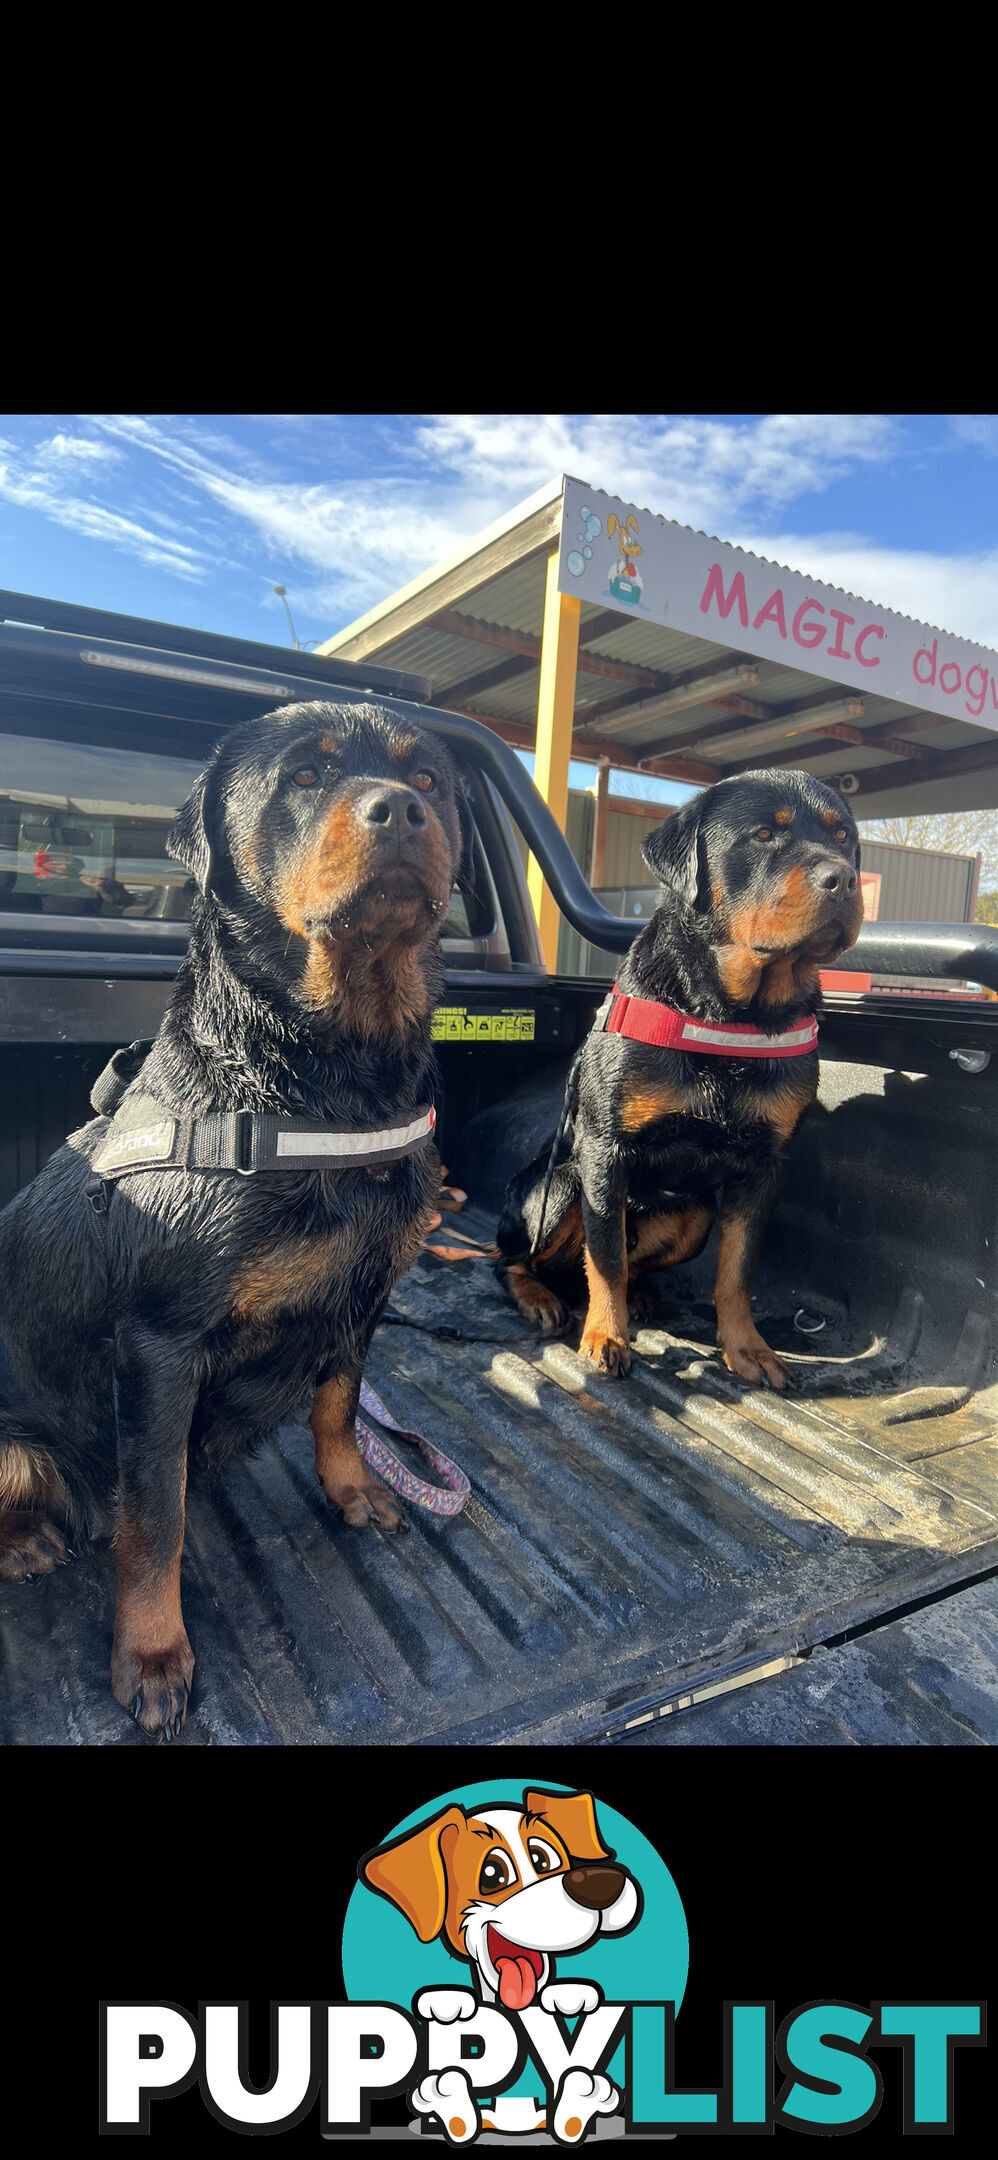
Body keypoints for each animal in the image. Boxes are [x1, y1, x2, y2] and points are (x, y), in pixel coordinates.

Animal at [0, 704, 466, 1736]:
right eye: (304, 776)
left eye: (430, 777)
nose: (400, 807)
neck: (329, 1087)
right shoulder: (159, 1345)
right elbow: (154, 1520)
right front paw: (152, 1653)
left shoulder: (363, 1297)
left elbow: (338, 1402)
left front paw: (353, 1489)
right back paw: (24, 1539)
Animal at [499, 768, 864, 1391]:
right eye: (764, 835)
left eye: (843, 838)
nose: (842, 878)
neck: (733, 1014)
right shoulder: (604, 1152)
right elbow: (606, 1261)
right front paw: (606, 1336)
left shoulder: (765, 1166)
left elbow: (736, 1270)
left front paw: (747, 1347)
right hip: (560, 1187)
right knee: (512, 1259)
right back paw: (540, 1297)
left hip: (694, 1215)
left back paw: (640, 1295)